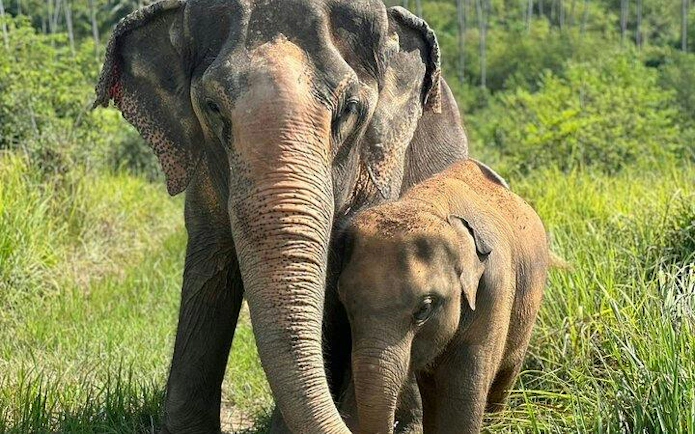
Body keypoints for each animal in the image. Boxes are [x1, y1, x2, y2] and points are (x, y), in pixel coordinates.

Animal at [336, 159, 550, 434]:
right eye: (345, 303)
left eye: (424, 309)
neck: (430, 207)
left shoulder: (493, 291)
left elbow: (463, 393)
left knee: (507, 372)